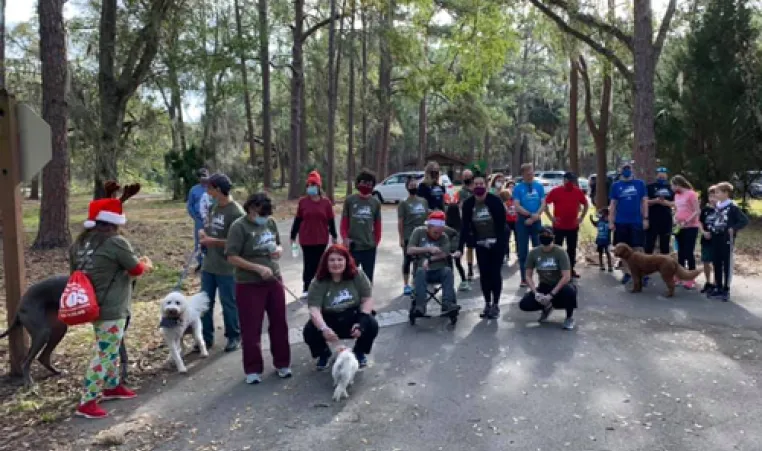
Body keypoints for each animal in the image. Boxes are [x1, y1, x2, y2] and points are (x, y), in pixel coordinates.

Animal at [0, 276, 131, 388]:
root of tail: (19, 306)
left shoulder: (117, 330)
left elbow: (123, 355)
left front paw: (123, 376)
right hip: (42, 333)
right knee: (25, 362)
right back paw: (30, 383)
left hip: (58, 329)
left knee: (43, 357)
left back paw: (56, 372)